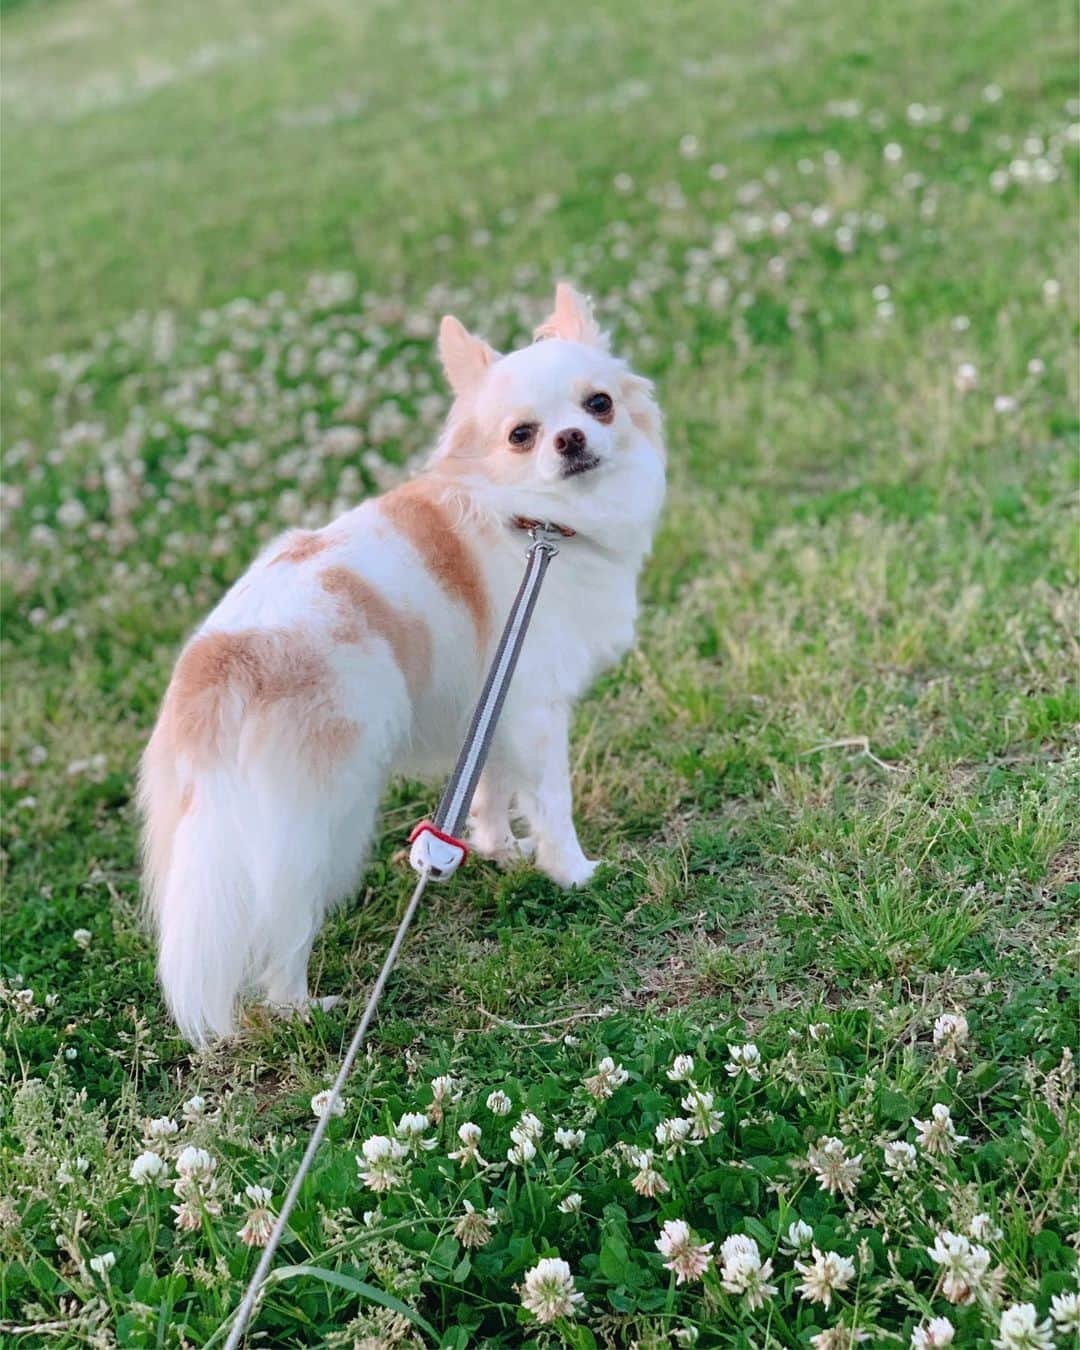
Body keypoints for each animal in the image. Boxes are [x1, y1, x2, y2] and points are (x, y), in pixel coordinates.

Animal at [138, 287, 661, 1042]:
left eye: (600, 405)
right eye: (521, 436)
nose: (570, 439)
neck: (536, 523)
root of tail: (222, 662)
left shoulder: (495, 703)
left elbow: (488, 788)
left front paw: (497, 849)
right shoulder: (535, 709)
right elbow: (551, 802)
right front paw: (573, 872)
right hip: (324, 814)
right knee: (284, 925)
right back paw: (304, 1009)